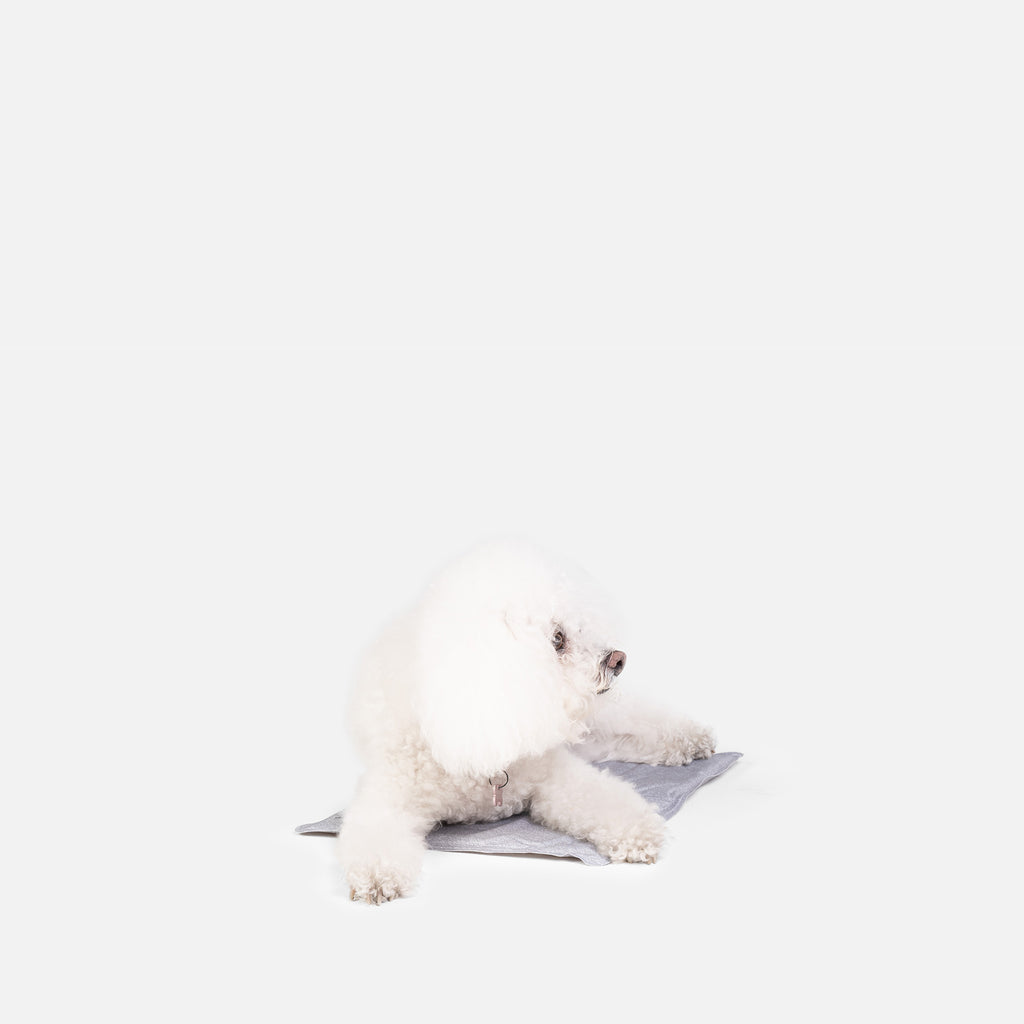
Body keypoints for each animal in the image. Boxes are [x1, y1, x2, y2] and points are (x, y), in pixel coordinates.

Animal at [338, 539, 715, 903]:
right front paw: (377, 876)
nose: (618, 659)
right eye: (557, 639)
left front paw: (640, 831)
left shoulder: (552, 774)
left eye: (581, 626)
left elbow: (601, 796)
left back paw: (691, 738)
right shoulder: (392, 790)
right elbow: (374, 830)